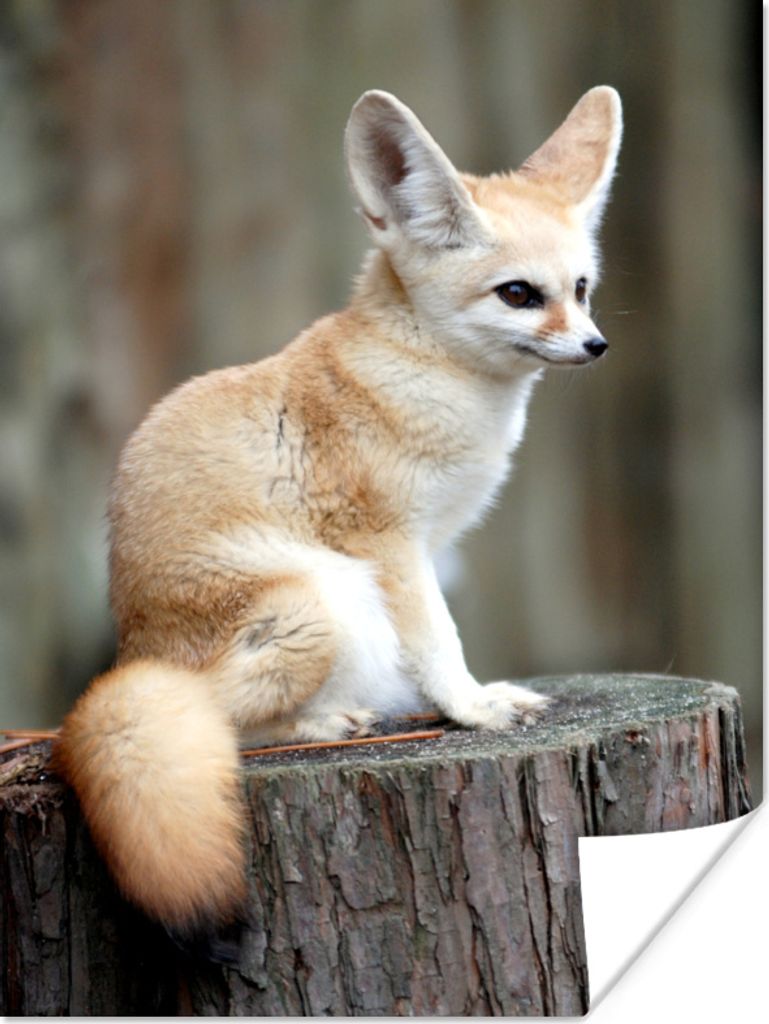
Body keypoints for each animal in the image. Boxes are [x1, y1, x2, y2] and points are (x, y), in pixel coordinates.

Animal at [55, 86, 622, 943]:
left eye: (581, 288)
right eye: (519, 294)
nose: (595, 346)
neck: (420, 374)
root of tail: (127, 660)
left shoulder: (429, 545)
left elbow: (434, 645)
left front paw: (464, 699)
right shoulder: (388, 545)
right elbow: (438, 639)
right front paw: (470, 707)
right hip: (320, 603)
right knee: (216, 724)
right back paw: (322, 724)